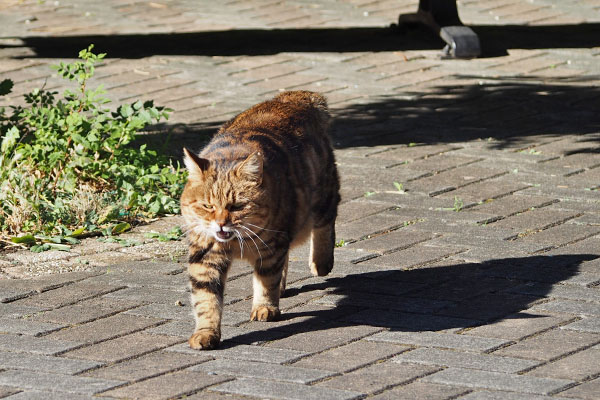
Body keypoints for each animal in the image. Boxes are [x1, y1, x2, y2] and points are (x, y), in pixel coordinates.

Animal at [178, 90, 340, 350]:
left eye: (237, 206)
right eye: (208, 206)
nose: (221, 223)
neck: (235, 242)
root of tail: (295, 96)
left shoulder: (272, 245)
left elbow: (266, 280)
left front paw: (265, 307)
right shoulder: (205, 254)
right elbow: (206, 299)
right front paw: (205, 332)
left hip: (323, 194)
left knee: (325, 223)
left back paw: (321, 262)